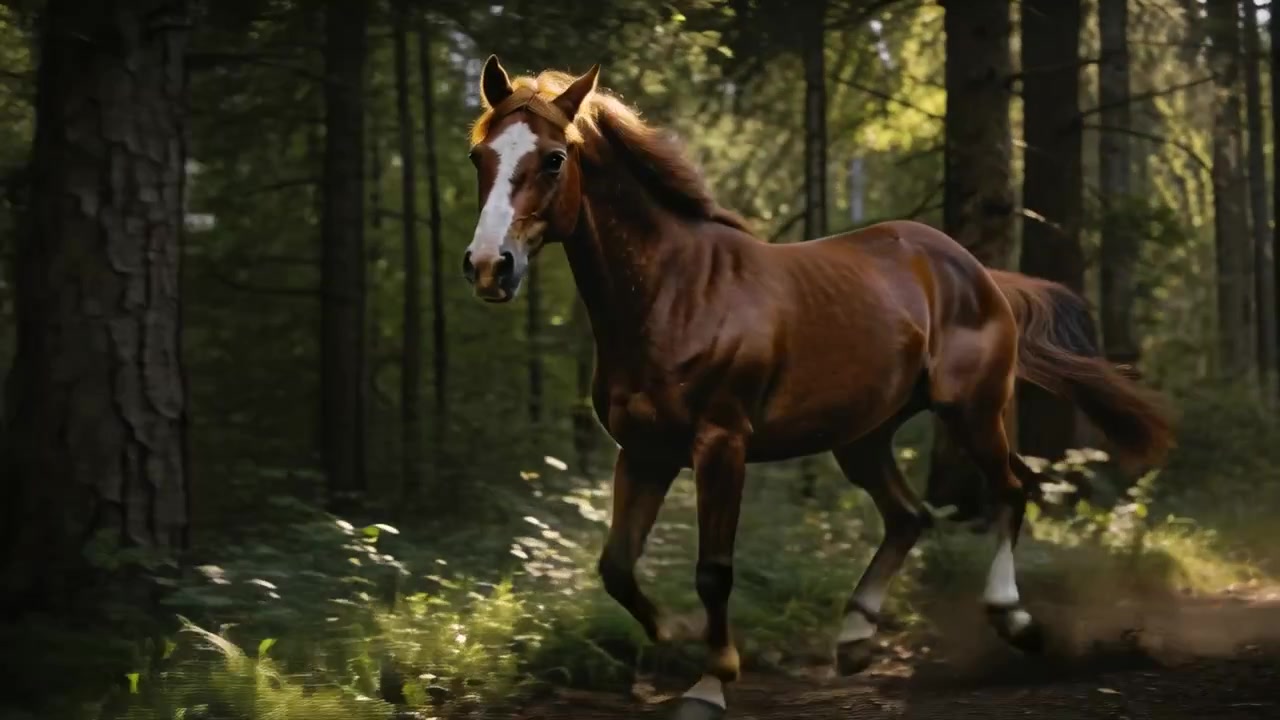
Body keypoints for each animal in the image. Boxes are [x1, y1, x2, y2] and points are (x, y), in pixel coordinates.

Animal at [459, 56, 1174, 719]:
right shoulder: (644, 453)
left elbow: (713, 571)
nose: (490, 267)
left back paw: (1015, 621)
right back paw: (855, 640)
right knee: (910, 515)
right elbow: (616, 565)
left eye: (555, 158)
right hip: (863, 438)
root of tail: (979, 273)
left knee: (1011, 488)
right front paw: (679, 637)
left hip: (971, 411)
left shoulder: (721, 445)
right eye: (479, 155)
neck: (673, 294)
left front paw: (712, 680)